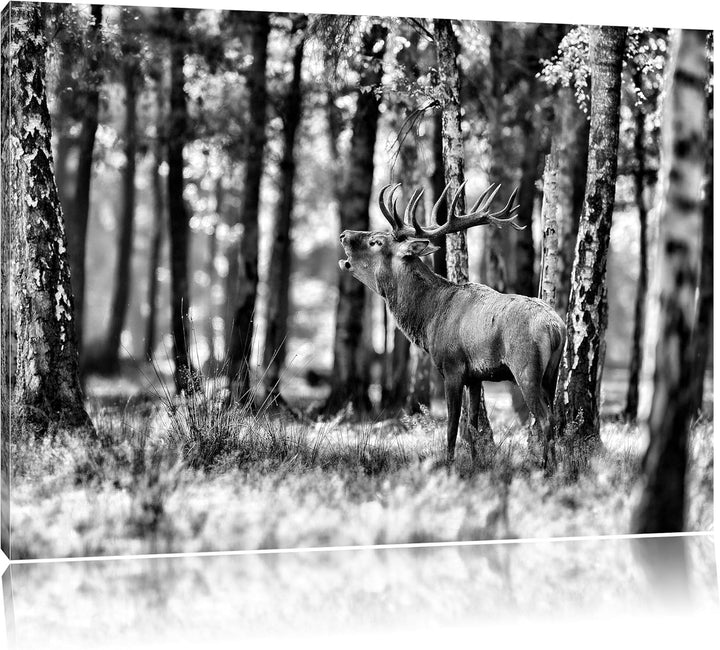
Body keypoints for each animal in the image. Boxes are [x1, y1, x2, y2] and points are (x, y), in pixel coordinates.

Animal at [338, 181, 566, 468]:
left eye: (376, 241)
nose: (343, 234)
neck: (429, 320)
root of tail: (555, 328)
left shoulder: (452, 366)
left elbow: (452, 426)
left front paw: (449, 465)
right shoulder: (476, 376)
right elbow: (472, 426)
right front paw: (477, 464)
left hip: (526, 367)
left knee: (545, 419)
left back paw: (545, 467)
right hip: (552, 373)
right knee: (555, 417)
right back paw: (558, 466)